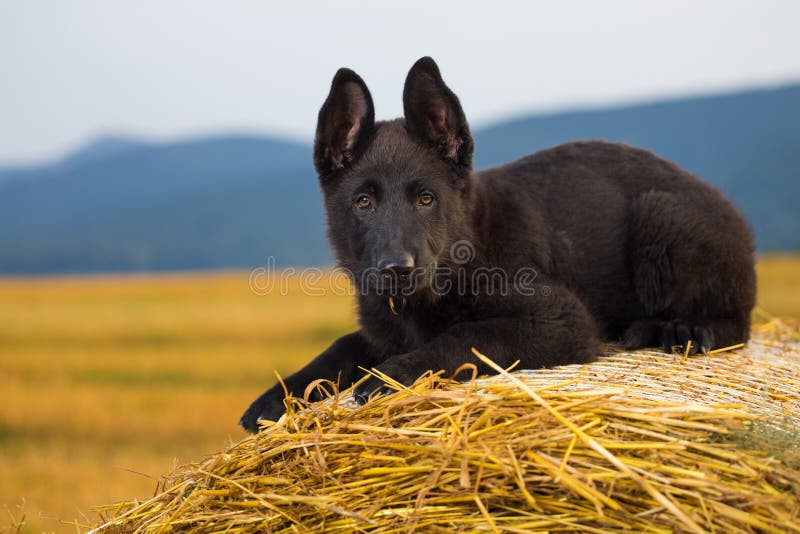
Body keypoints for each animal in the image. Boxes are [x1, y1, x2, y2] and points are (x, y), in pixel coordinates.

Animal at [238, 57, 756, 436]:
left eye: (426, 198)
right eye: (363, 201)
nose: (396, 269)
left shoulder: (561, 320)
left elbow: (467, 335)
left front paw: (393, 373)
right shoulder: (381, 330)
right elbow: (340, 347)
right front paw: (275, 398)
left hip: (662, 218)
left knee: (735, 323)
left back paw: (681, 330)